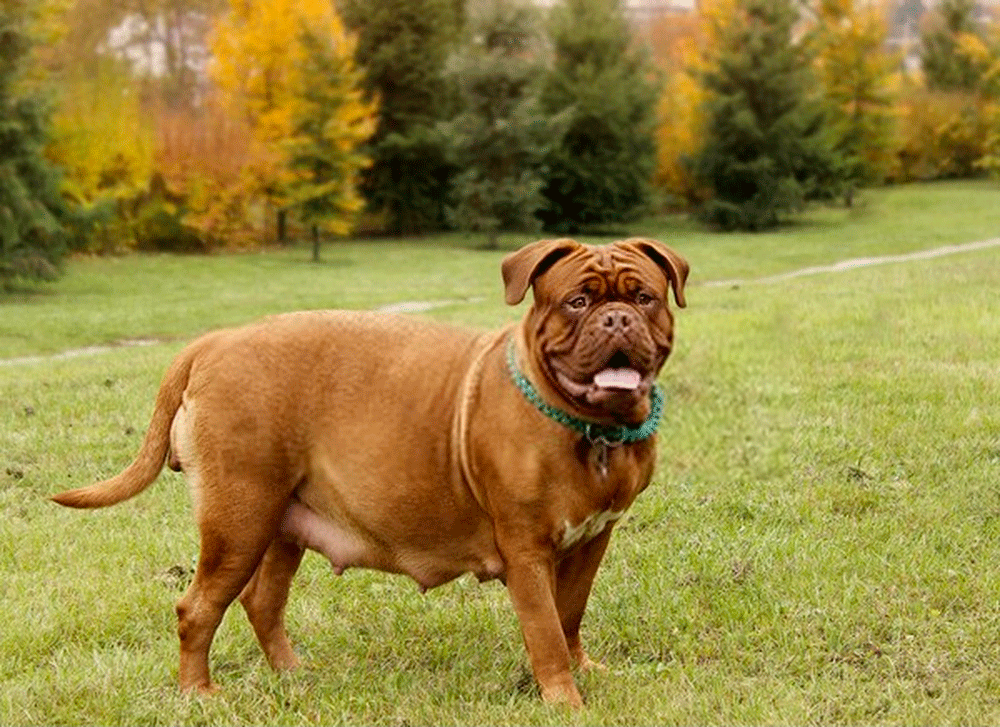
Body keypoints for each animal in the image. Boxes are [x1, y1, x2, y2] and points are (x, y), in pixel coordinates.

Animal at [52, 237, 688, 704]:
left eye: (645, 297)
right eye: (577, 302)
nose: (616, 319)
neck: (592, 430)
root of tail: (211, 342)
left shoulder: (593, 538)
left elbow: (570, 614)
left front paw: (585, 672)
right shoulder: (527, 550)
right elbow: (546, 632)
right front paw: (564, 700)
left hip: (280, 524)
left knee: (263, 602)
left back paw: (292, 675)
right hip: (239, 519)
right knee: (198, 608)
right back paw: (198, 694)